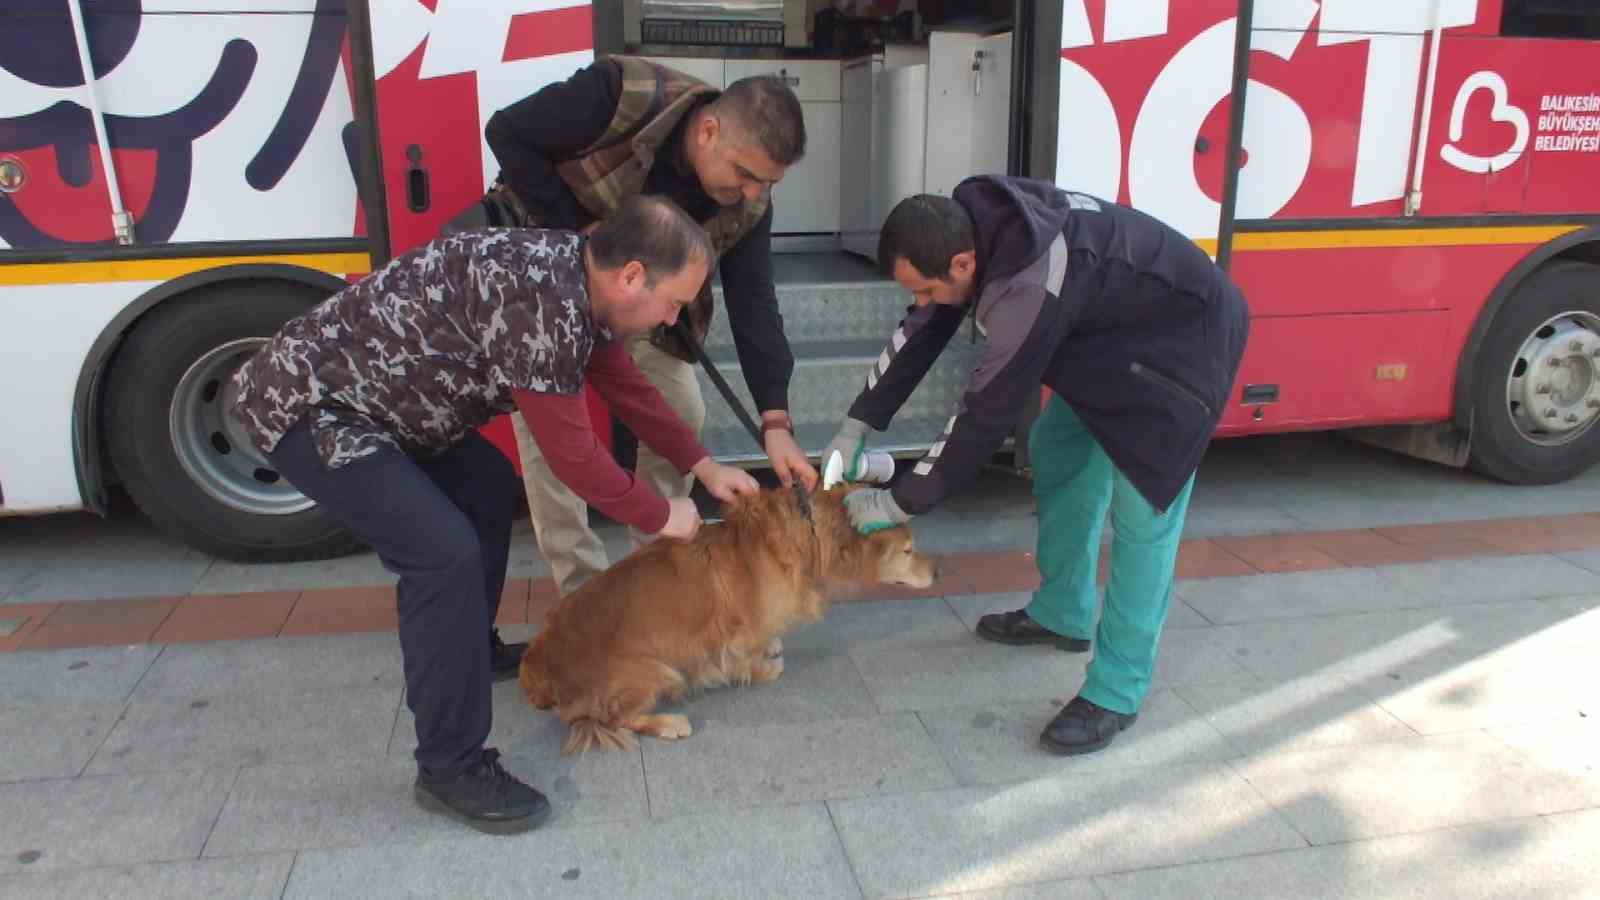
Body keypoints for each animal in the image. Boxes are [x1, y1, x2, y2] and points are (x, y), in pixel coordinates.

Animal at [518, 483, 934, 749]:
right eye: (908, 550)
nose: (937, 572)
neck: (804, 535)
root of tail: (540, 663)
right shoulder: (734, 634)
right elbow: (744, 658)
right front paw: (763, 667)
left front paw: (772, 648)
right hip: (655, 671)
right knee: (616, 718)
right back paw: (669, 723)